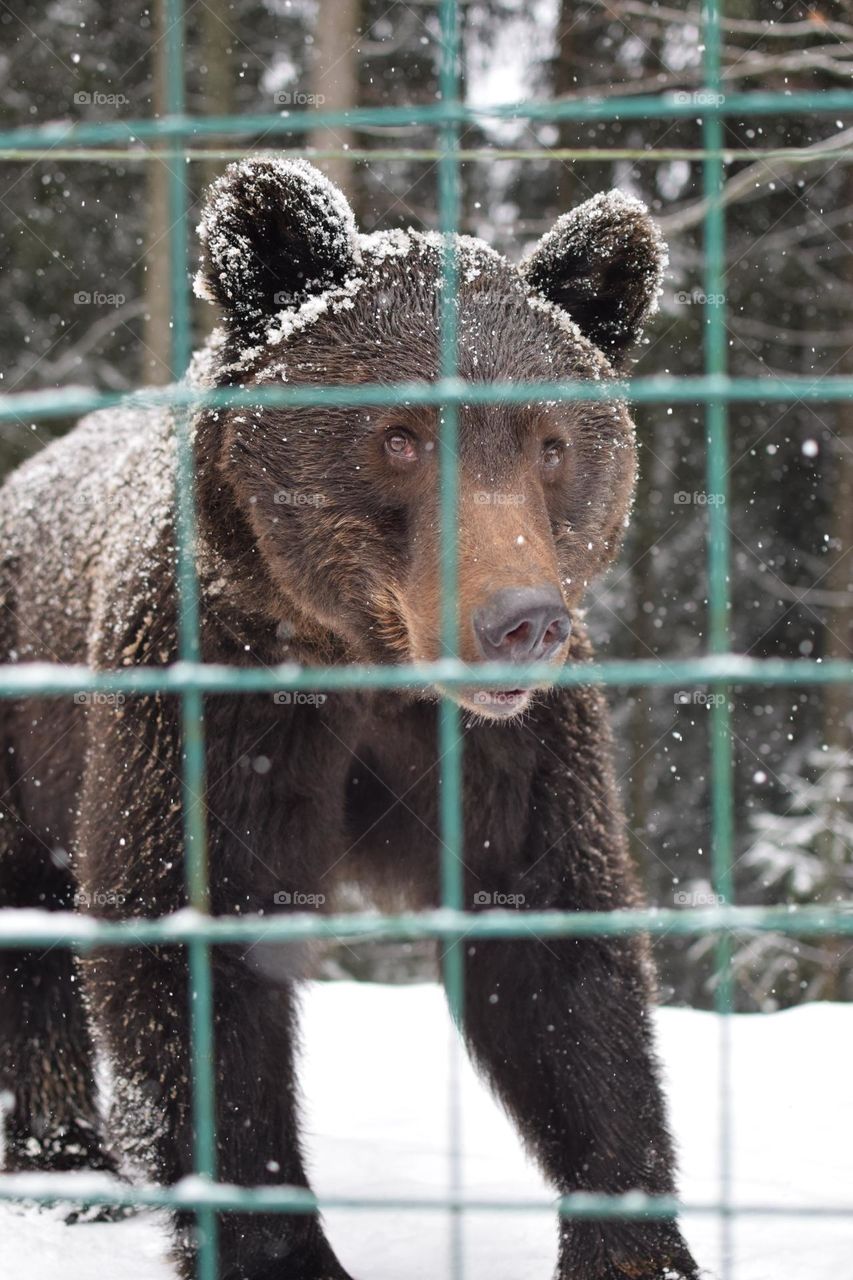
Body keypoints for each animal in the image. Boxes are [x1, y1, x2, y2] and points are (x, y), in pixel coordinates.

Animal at [0, 158, 699, 1280]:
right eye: (399, 435)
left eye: (550, 443)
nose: (521, 620)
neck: (370, 666)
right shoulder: (215, 702)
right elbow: (192, 950)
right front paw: (275, 1246)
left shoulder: (507, 751)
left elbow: (555, 957)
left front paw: (633, 1242)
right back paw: (68, 1163)